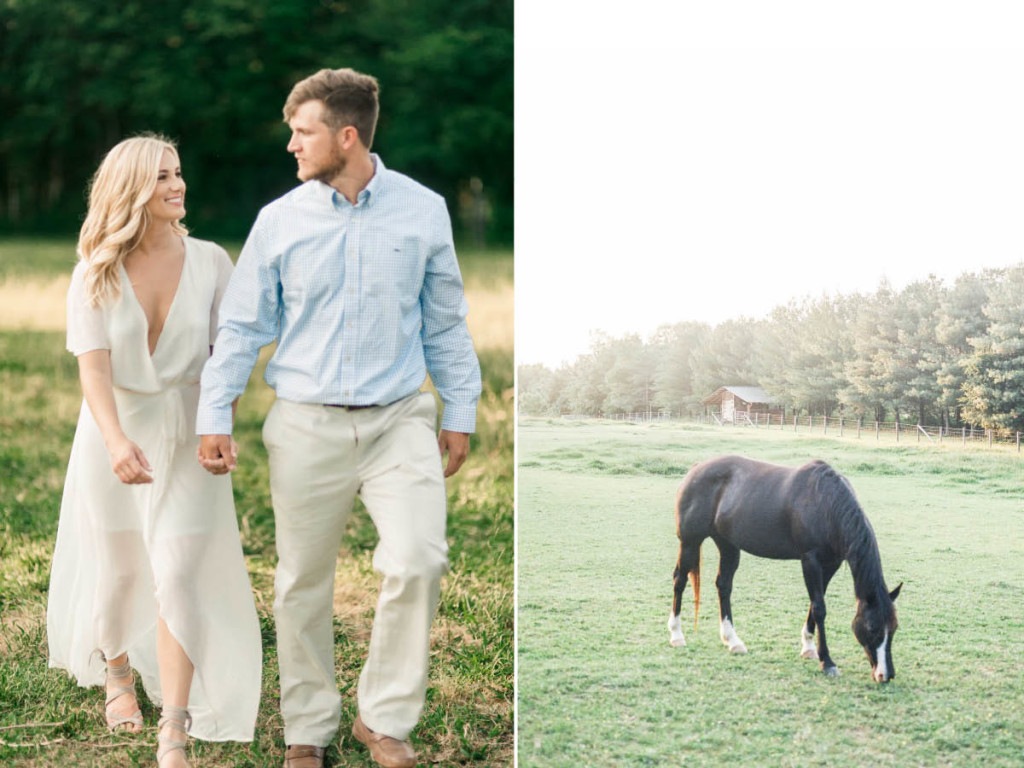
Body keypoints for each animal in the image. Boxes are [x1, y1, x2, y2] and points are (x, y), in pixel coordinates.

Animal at [671, 454, 905, 684]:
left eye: (893, 627)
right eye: (872, 627)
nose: (886, 675)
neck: (826, 504)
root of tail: (696, 468)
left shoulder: (831, 564)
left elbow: (815, 603)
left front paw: (809, 647)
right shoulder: (810, 560)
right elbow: (819, 608)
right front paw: (827, 662)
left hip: (728, 545)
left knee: (723, 585)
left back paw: (733, 640)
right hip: (690, 542)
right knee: (679, 581)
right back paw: (676, 636)